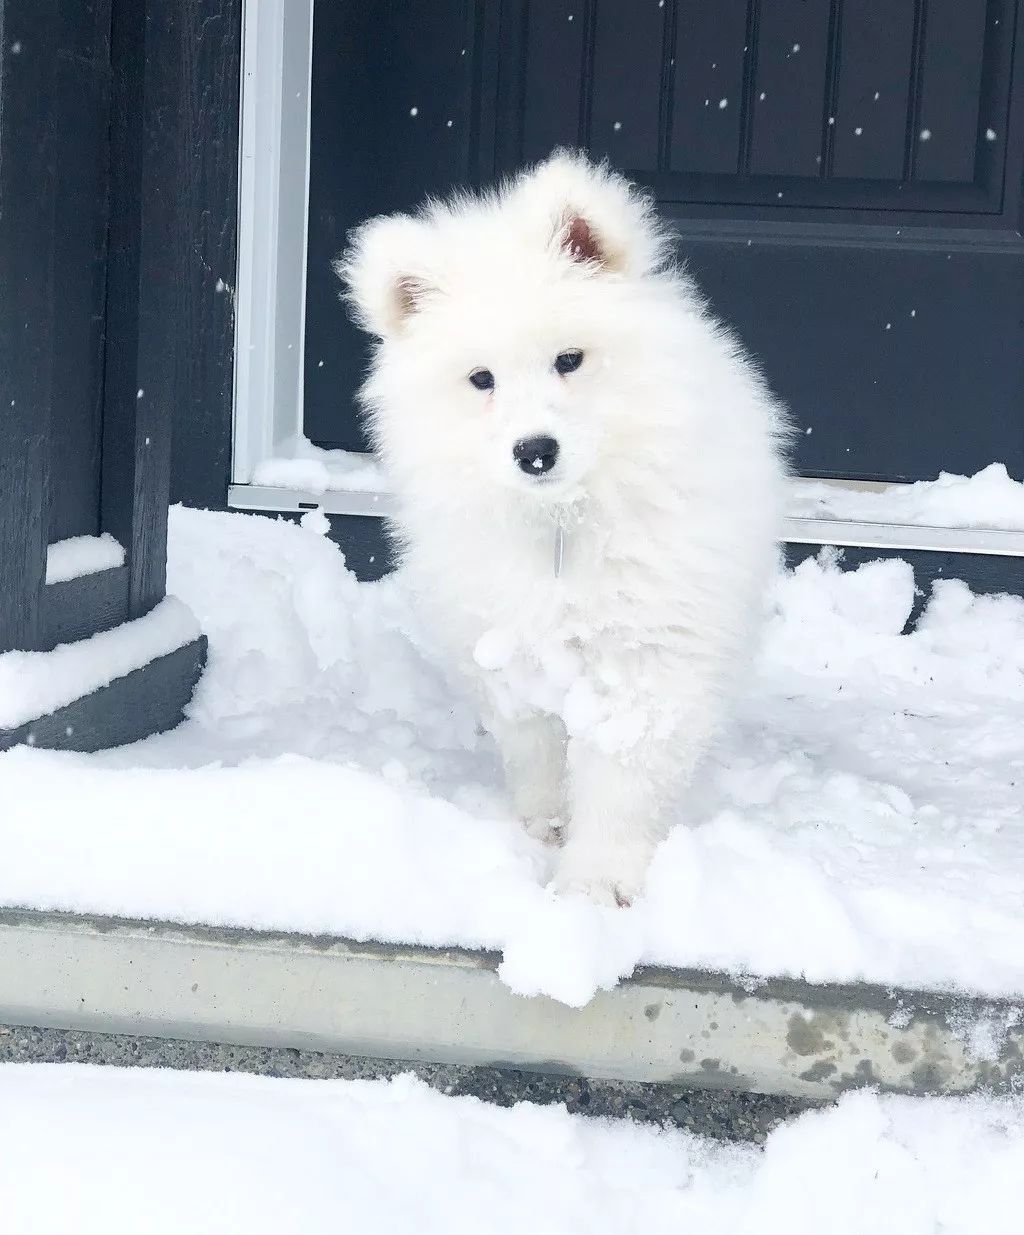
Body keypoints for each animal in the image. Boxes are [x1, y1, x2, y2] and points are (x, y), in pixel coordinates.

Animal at [338, 154, 785, 908]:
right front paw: (544, 827)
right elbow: (536, 748)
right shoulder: (510, 648)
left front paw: (594, 885)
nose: (535, 451)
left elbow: (623, 778)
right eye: (481, 379)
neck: (564, 518)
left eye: (569, 360)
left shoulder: (648, 654)